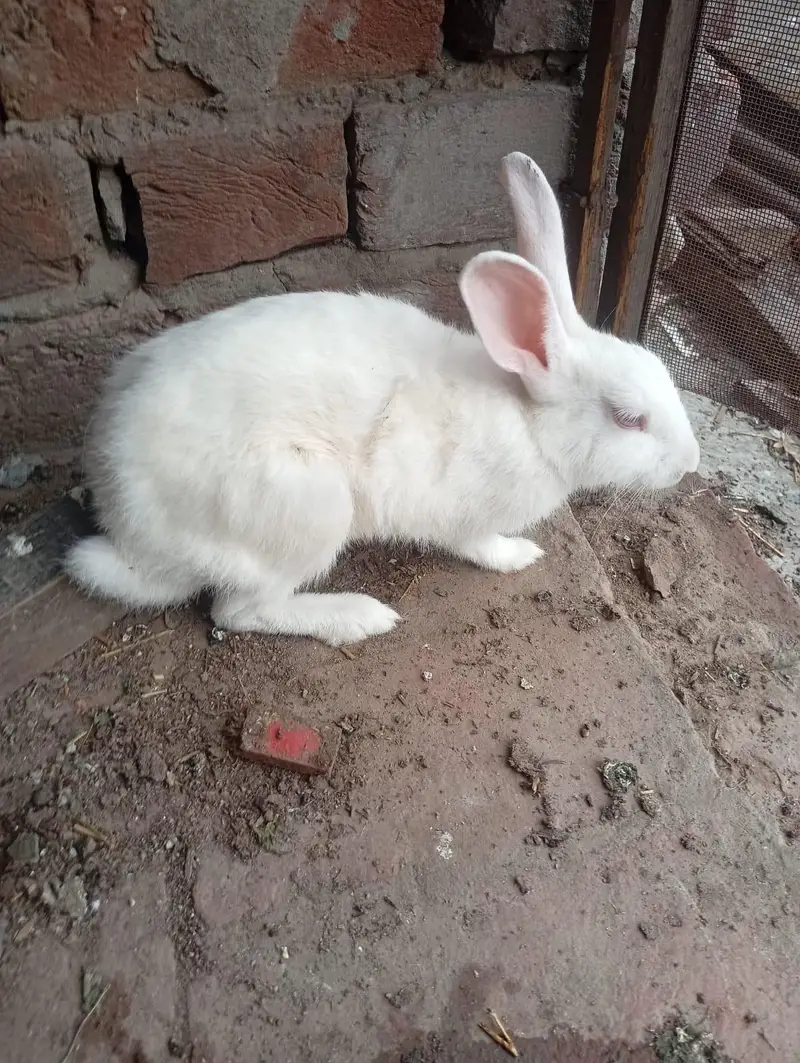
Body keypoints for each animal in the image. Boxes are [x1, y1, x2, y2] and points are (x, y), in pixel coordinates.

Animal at [65, 152, 700, 646]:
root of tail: (127, 526)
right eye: (628, 418)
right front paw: (520, 555)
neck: (526, 419)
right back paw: (359, 618)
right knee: (239, 610)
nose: (691, 464)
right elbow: (479, 544)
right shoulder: (464, 514)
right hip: (304, 508)